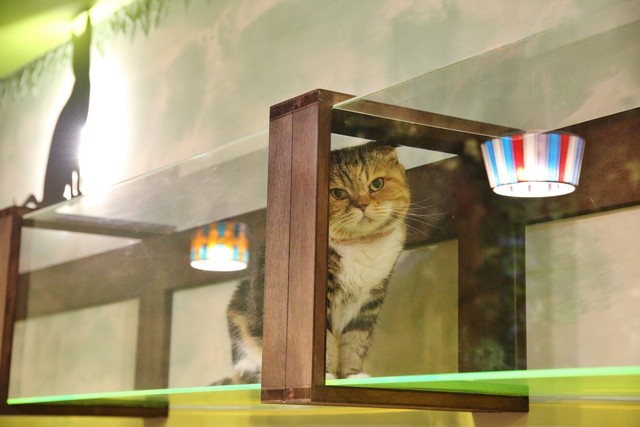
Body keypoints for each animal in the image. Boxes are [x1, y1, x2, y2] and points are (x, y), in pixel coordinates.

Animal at [220, 142, 410, 386]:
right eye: (338, 193)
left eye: (377, 184)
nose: (362, 204)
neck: (361, 244)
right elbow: (325, 343)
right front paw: (326, 376)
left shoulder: (370, 300)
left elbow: (356, 340)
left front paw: (352, 376)